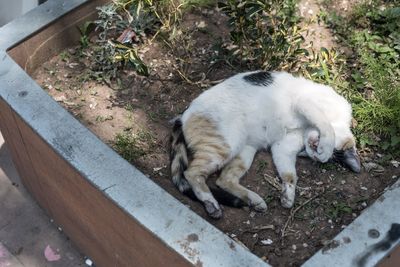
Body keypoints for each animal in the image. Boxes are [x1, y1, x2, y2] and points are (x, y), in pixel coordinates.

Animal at [169, 71, 360, 220]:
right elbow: (325, 125)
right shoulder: (305, 103)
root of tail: (183, 116)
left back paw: (254, 201)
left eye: (306, 154)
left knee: (223, 180)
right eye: (335, 151)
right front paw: (325, 148)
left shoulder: (283, 146)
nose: (313, 152)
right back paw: (211, 203)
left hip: (244, 152)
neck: (305, 129)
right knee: (191, 173)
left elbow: (289, 174)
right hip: (226, 145)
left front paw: (288, 196)